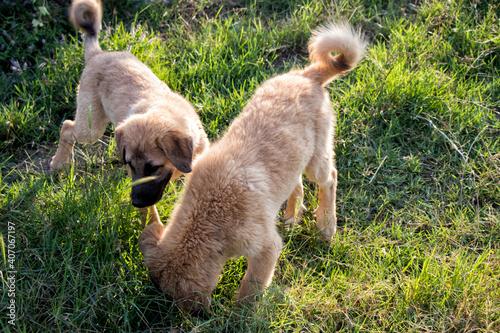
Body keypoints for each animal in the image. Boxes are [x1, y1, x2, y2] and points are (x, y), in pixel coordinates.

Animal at [49, 0, 208, 226]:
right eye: (130, 165)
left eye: (153, 167)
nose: (135, 202)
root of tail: (98, 54)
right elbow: (151, 212)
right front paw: (152, 228)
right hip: (91, 127)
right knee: (67, 127)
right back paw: (59, 163)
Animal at [139, 22, 366, 310]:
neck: (206, 217)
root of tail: (307, 76)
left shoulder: (267, 248)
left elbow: (250, 290)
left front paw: (241, 314)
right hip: (296, 156)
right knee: (297, 184)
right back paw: (292, 217)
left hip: (318, 159)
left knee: (329, 180)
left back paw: (326, 225)